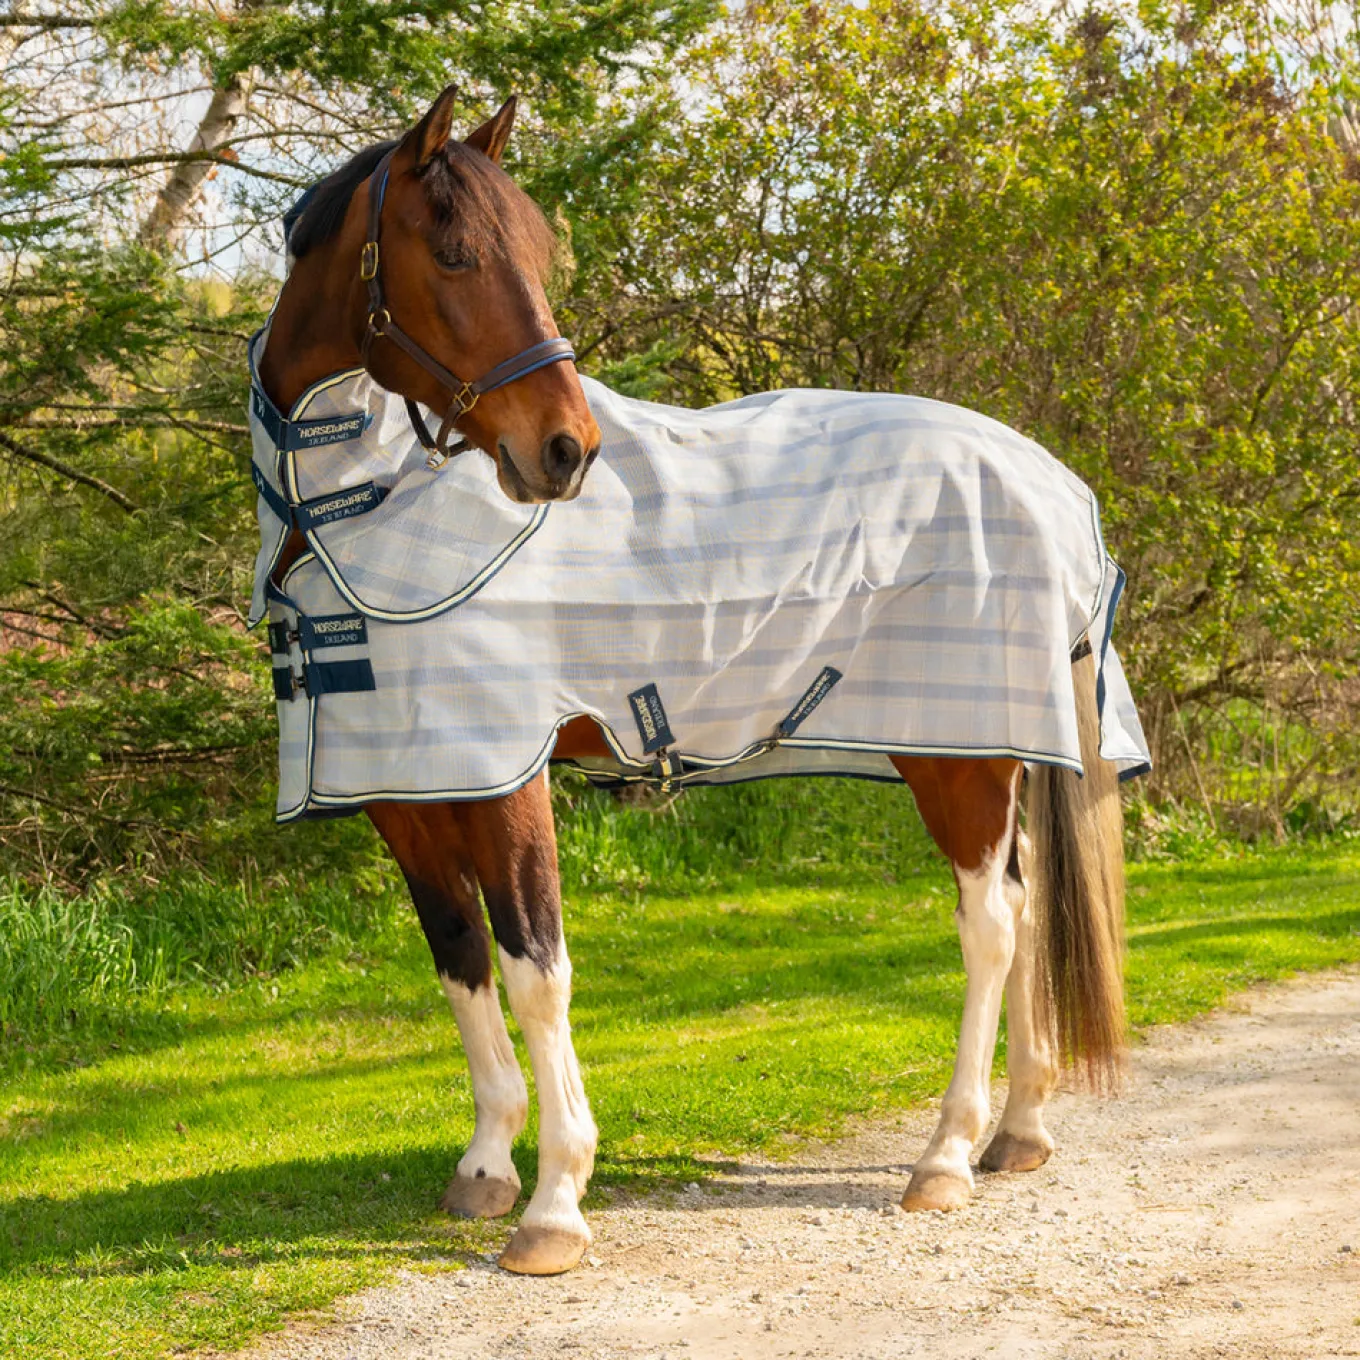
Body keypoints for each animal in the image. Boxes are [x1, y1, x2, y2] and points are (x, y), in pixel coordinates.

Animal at [254, 86, 1129, 1277]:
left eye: (535, 252)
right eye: (455, 252)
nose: (565, 451)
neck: (361, 508)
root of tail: (1048, 480)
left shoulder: (506, 776)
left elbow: (536, 969)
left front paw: (555, 1201)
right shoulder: (406, 787)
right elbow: (462, 959)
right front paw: (486, 1164)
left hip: (956, 757)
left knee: (989, 924)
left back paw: (945, 1156)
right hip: (986, 749)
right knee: (1028, 905)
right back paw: (1020, 1130)